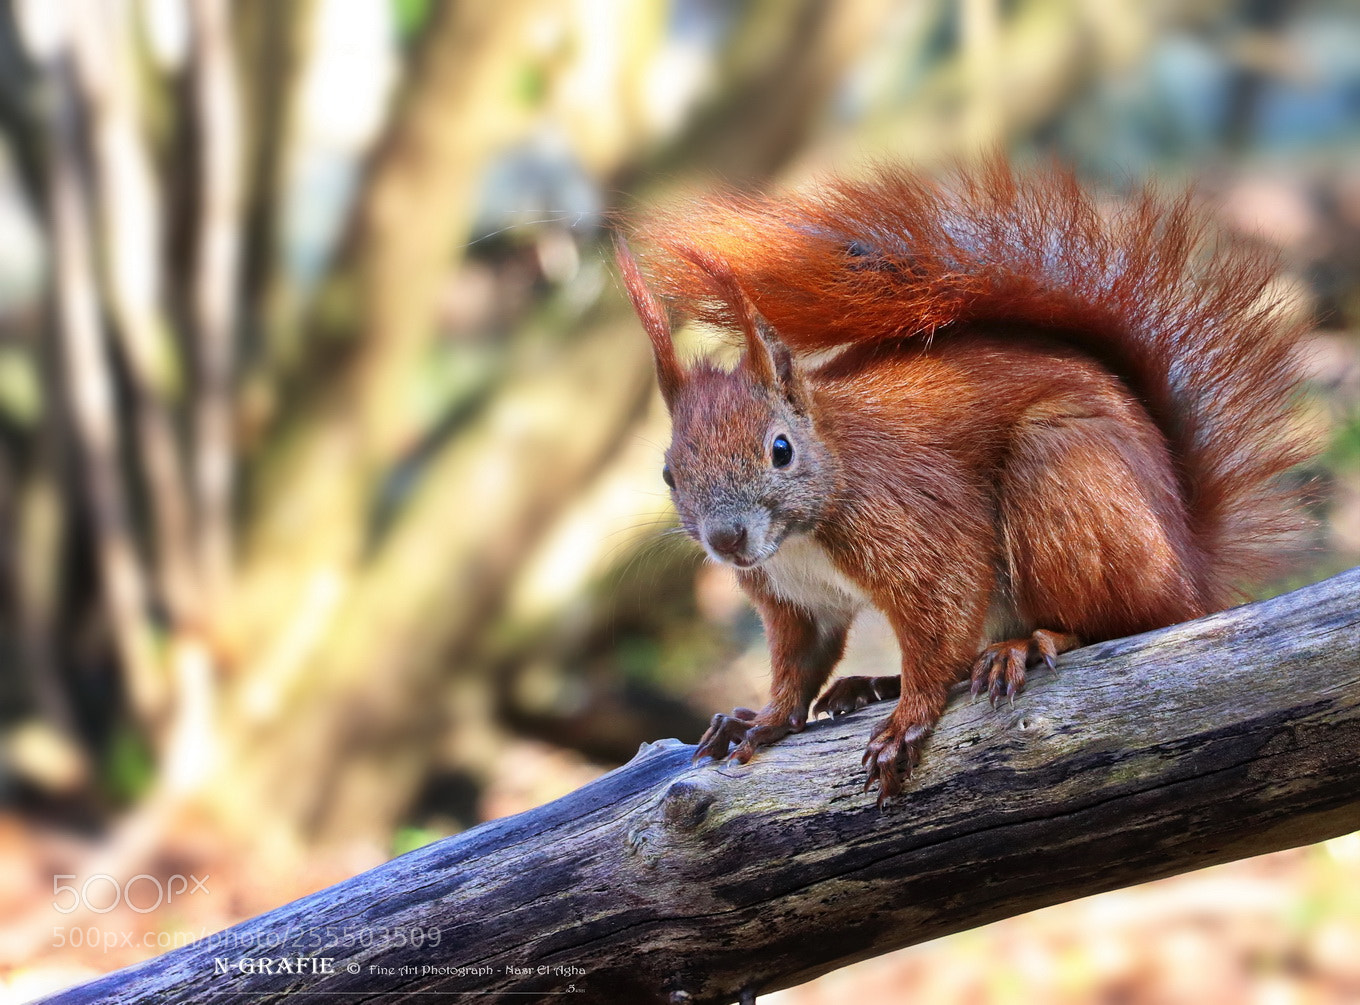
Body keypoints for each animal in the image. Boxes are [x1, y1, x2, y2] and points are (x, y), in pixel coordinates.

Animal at [615, 159, 1309, 804]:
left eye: (781, 451)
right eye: (669, 473)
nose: (726, 540)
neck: (803, 533)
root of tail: (1192, 568)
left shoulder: (913, 525)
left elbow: (940, 616)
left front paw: (906, 720)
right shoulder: (795, 600)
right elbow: (798, 665)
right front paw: (762, 720)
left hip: (1063, 473)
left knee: (1119, 622)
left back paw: (1023, 645)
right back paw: (873, 683)